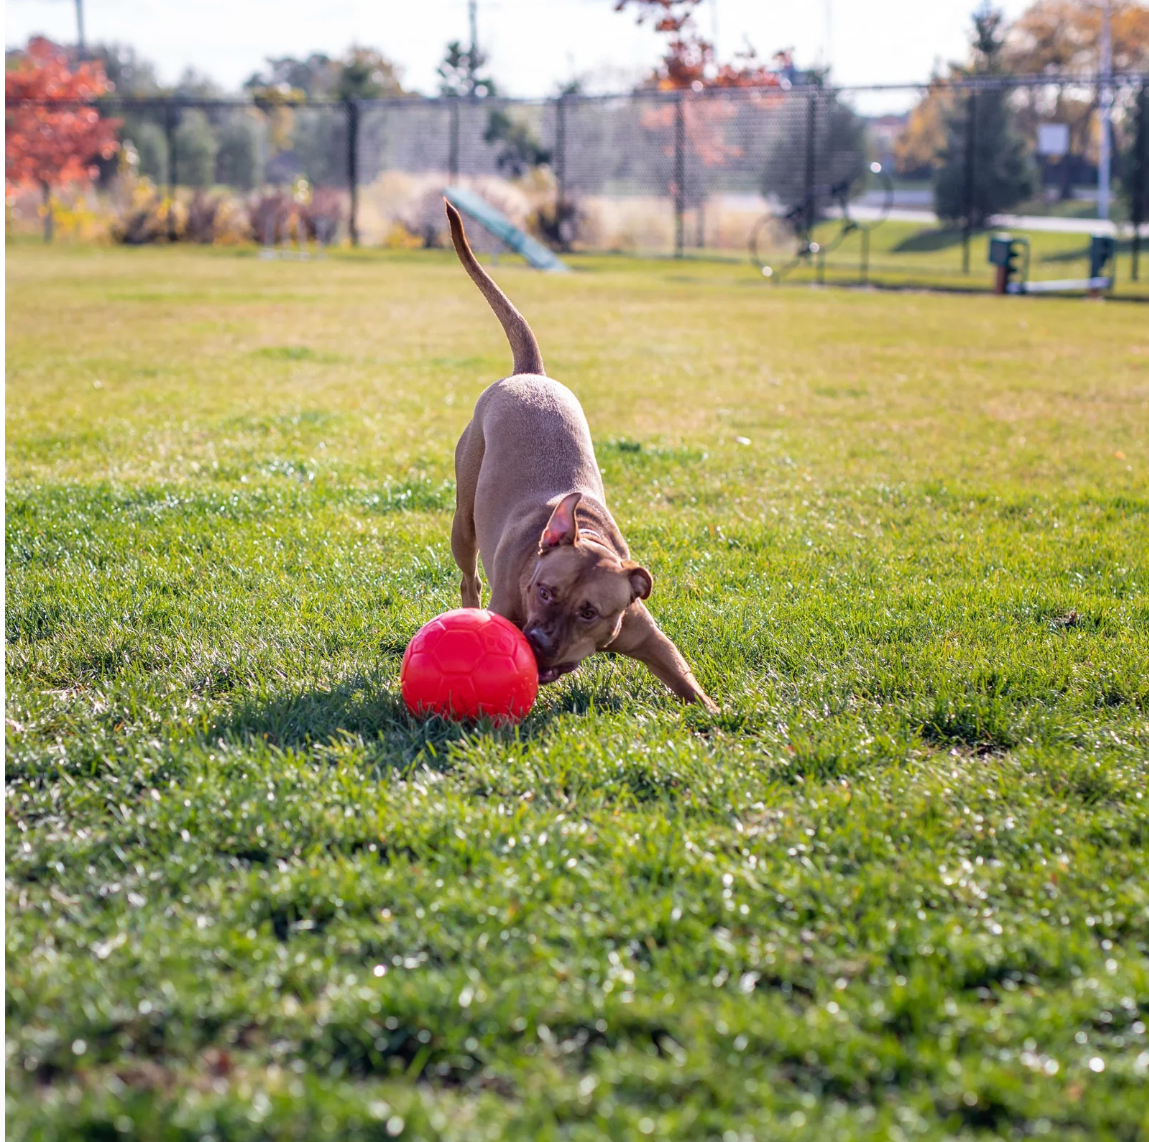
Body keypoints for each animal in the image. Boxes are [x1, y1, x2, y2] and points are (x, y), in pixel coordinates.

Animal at [443, 199, 712, 707]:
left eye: (589, 612)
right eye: (543, 591)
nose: (536, 642)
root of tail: (530, 373)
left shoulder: (651, 637)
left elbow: (690, 684)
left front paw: (716, 714)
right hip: (463, 522)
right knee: (469, 576)